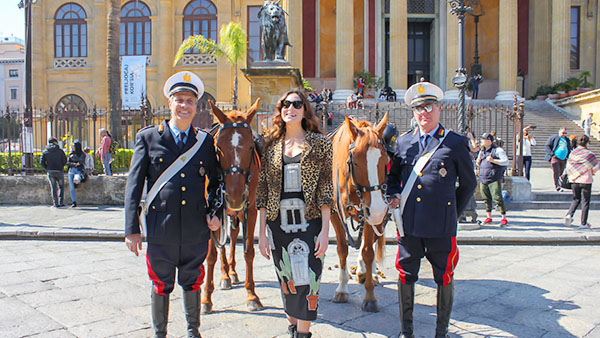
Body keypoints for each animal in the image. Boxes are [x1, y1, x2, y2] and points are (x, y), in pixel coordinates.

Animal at [202, 100, 262, 314]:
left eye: (251, 146)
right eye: (218, 147)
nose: (234, 196)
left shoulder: (251, 210)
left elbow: (248, 251)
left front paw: (251, 295)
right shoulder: (210, 210)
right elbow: (211, 254)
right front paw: (206, 298)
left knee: (234, 235)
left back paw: (233, 271)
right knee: (222, 242)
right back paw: (225, 275)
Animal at [328, 113, 390, 312]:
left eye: (385, 160)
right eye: (355, 161)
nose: (377, 209)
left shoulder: (372, 214)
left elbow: (368, 251)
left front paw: (370, 296)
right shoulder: (334, 214)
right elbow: (342, 249)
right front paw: (342, 288)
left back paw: (366, 272)